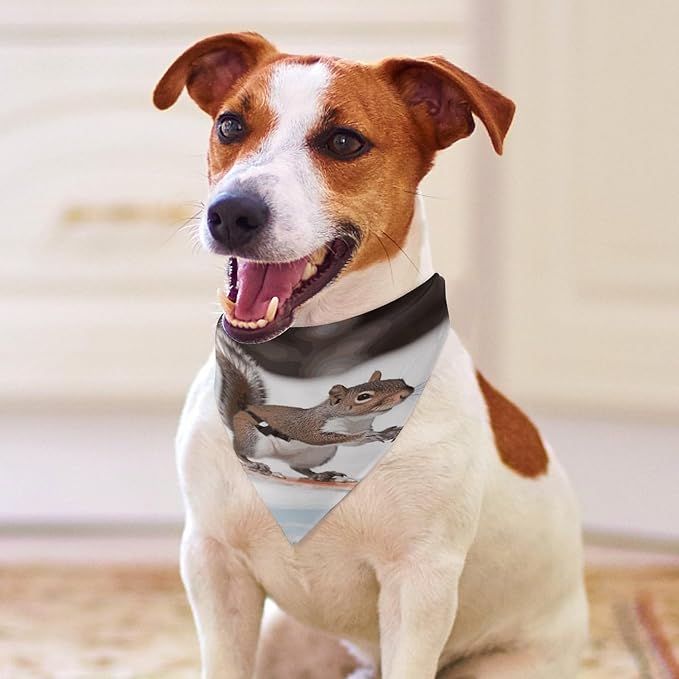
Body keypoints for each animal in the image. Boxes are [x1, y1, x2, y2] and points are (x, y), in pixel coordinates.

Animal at [215, 329, 414, 482]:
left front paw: (387, 432)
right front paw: (366, 436)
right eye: (363, 397)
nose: (406, 391)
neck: (355, 422)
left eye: (400, 380)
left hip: (316, 456)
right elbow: (321, 437)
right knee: (238, 450)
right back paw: (255, 464)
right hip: (254, 440)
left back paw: (321, 475)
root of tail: (240, 413)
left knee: (298, 468)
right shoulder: (310, 426)